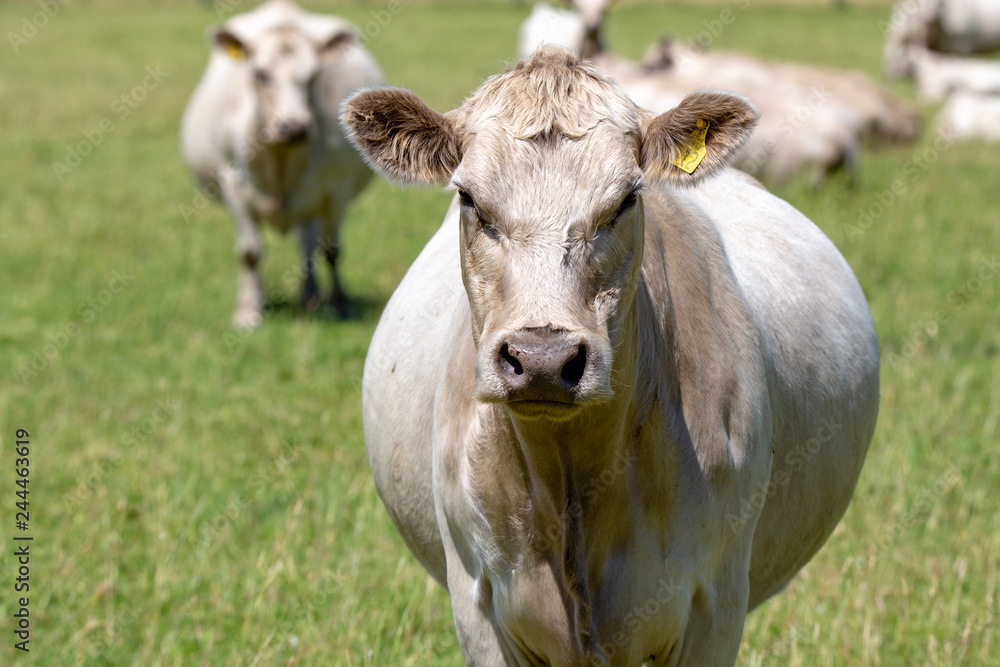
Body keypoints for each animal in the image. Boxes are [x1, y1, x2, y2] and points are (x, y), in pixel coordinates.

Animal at [180, 0, 382, 328]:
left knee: (307, 246)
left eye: (313, 76)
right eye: (260, 74)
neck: (280, 158)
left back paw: (311, 297)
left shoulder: (336, 191)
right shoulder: (233, 185)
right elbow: (250, 252)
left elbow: (331, 250)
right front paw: (248, 310)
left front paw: (340, 304)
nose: (294, 127)